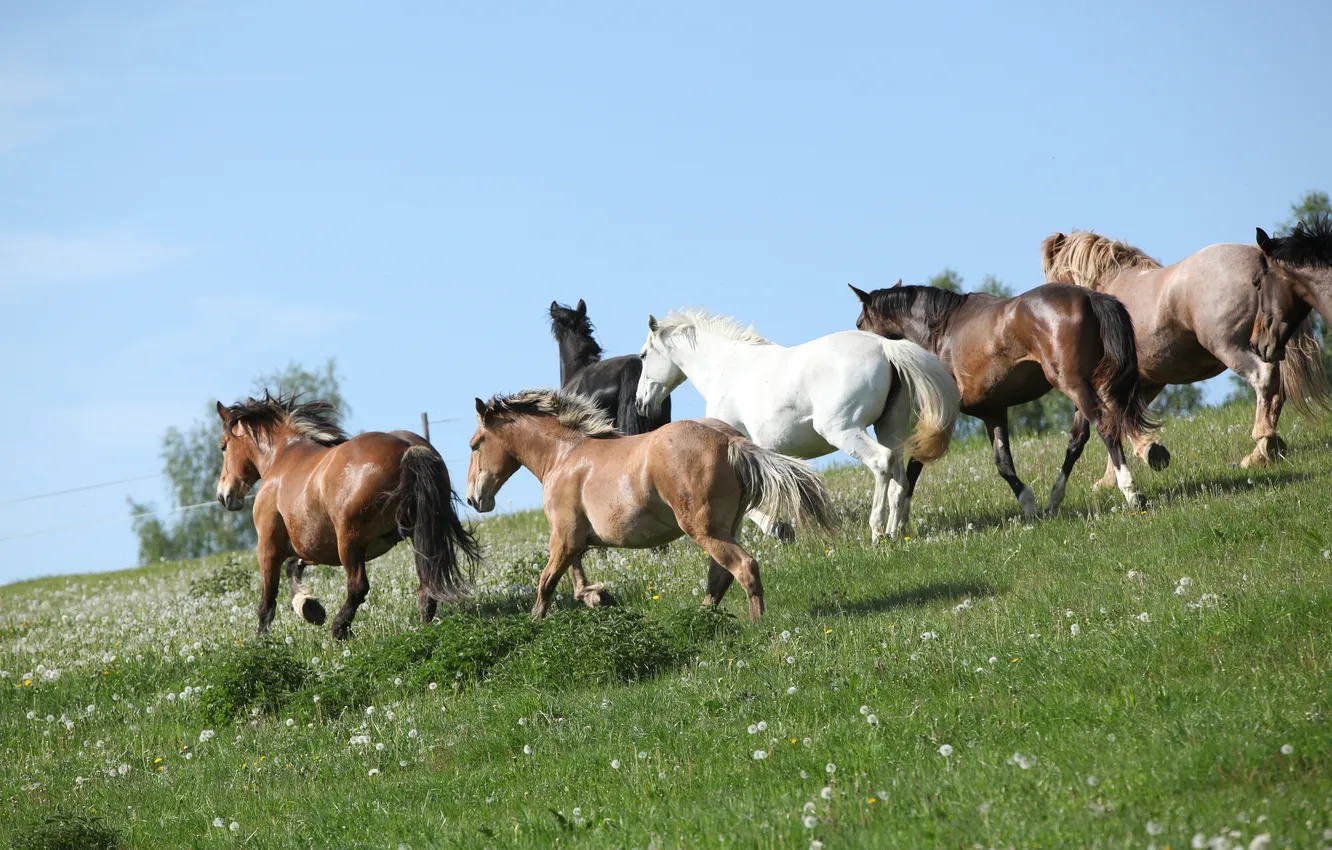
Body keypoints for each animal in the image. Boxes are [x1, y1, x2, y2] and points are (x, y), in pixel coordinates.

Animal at [215, 392, 479, 639]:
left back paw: (340, 629)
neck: (282, 458)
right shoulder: (316, 548)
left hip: (350, 542)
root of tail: (407, 449)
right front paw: (309, 607)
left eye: (224, 446)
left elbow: (267, 601)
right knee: (426, 584)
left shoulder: (268, 547)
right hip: (417, 534)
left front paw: (262, 642)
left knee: (358, 587)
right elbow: (293, 566)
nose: (223, 495)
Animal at [464, 390, 835, 621]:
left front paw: (534, 623)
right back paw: (702, 618)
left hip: (703, 528)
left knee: (744, 568)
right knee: (719, 577)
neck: (564, 456)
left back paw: (755, 625)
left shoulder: (564, 537)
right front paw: (598, 597)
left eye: (475, 444)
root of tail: (730, 439)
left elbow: (546, 583)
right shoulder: (576, 540)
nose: (474, 498)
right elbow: (575, 580)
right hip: (727, 526)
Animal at [633, 309, 959, 543]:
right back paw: (895, 531)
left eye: (643, 356)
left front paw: (779, 529)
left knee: (881, 463)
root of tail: (884, 345)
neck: (726, 369)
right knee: (900, 480)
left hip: (843, 431)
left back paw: (876, 532)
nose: (640, 404)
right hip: (889, 429)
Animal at [850, 282, 1155, 514]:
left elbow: (916, 461)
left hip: (1074, 385)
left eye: (859, 323)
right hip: (1087, 387)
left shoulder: (944, 416)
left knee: (1105, 427)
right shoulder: (993, 412)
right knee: (1078, 440)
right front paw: (1028, 506)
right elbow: (1004, 464)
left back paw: (1131, 492)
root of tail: (1089, 297)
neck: (942, 330)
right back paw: (1053, 500)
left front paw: (897, 515)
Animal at [1042, 230, 1331, 471]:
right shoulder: (1148, 382)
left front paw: (1147, 452)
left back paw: (1262, 442)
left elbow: (1117, 419)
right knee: (1277, 392)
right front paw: (1112, 477)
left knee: (1264, 379)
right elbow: (1122, 420)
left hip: (1231, 347)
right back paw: (1263, 450)